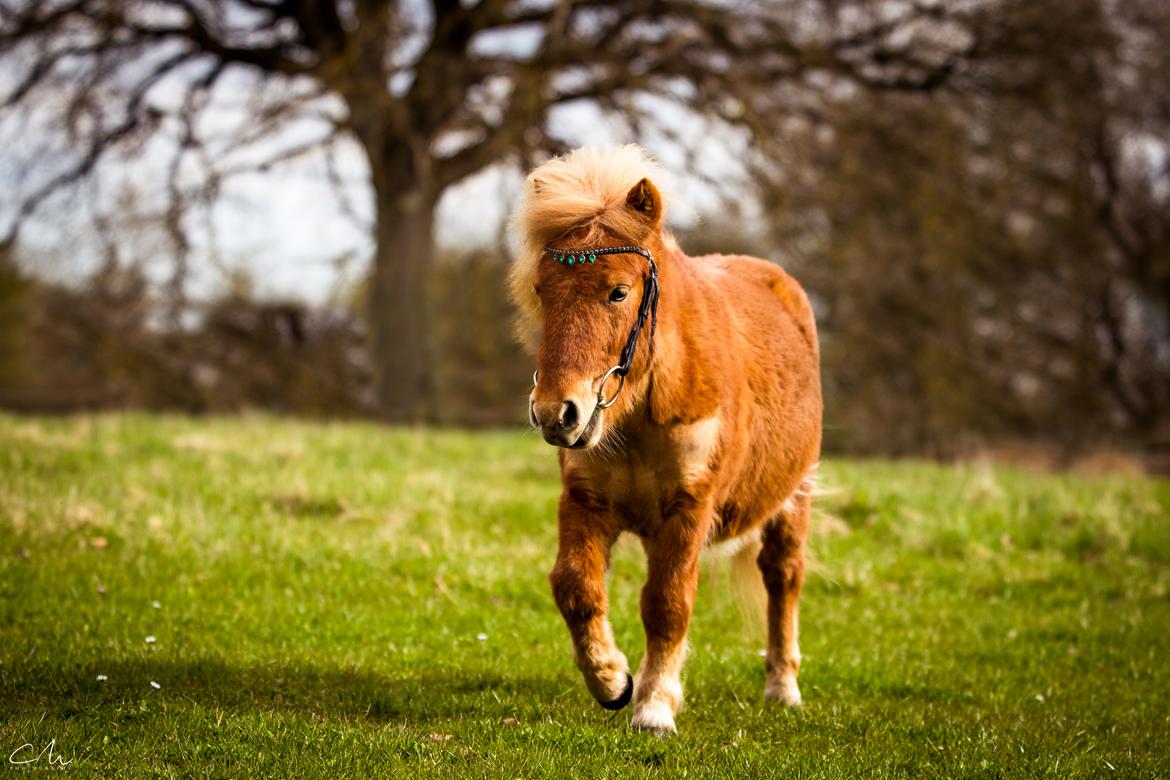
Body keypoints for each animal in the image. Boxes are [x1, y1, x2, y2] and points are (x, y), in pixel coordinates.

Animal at [510, 146, 823, 739]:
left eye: (618, 291)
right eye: (542, 290)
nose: (556, 413)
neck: (640, 415)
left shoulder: (689, 508)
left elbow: (668, 603)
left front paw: (654, 706)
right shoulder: (585, 501)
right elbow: (575, 587)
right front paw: (613, 681)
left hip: (793, 498)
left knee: (784, 577)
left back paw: (784, 688)